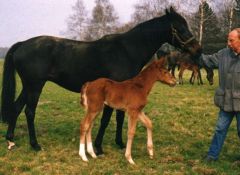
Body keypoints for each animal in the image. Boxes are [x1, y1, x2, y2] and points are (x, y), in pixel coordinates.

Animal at [0, 7, 202, 154]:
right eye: (180, 27)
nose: (198, 50)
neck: (127, 50)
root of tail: (22, 44)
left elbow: (120, 118)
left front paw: (120, 143)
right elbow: (106, 119)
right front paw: (98, 147)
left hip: (28, 86)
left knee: (16, 108)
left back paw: (11, 139)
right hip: (35, 86)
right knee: (29, 112)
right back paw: (35, 144)